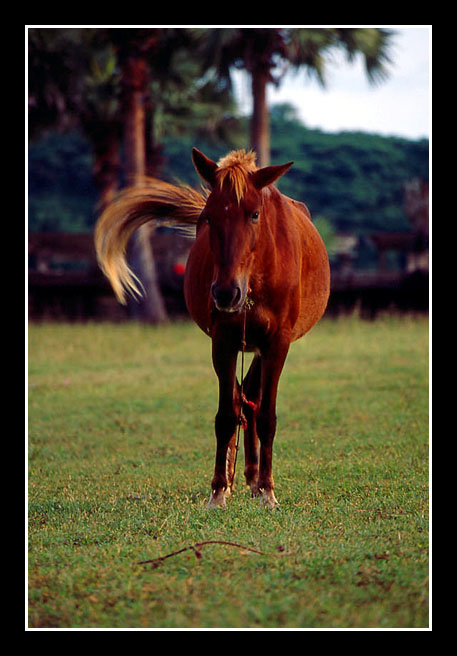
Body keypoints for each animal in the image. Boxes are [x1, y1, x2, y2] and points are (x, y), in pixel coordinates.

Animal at [94, 149, 330, 508]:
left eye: (254, 214)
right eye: (208, 217)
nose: (226, 293)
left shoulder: (278, 343)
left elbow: (267, 416)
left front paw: (268, 491)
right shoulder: (223, 341)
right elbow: (225, 415)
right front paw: (219, 490)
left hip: (261, 347)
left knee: (251, 398)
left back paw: (255, 480)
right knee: (241, 398)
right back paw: (240, 478)